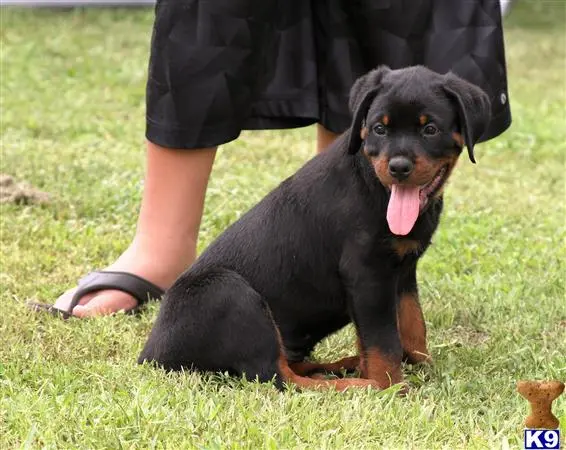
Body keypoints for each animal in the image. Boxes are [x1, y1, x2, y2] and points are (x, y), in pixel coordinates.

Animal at [139, 65, 492, 392]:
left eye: (430, 129)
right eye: (380, 128)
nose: (399, 167)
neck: (375, 187)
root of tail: (152, 357)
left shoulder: (403, 269)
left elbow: (411, 323)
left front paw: (420, 365)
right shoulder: (367, 273)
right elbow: (384, 341)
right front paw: (393, 386)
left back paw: (345, 366)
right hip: (227, 292)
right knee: (278, 377)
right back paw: (358, 385)